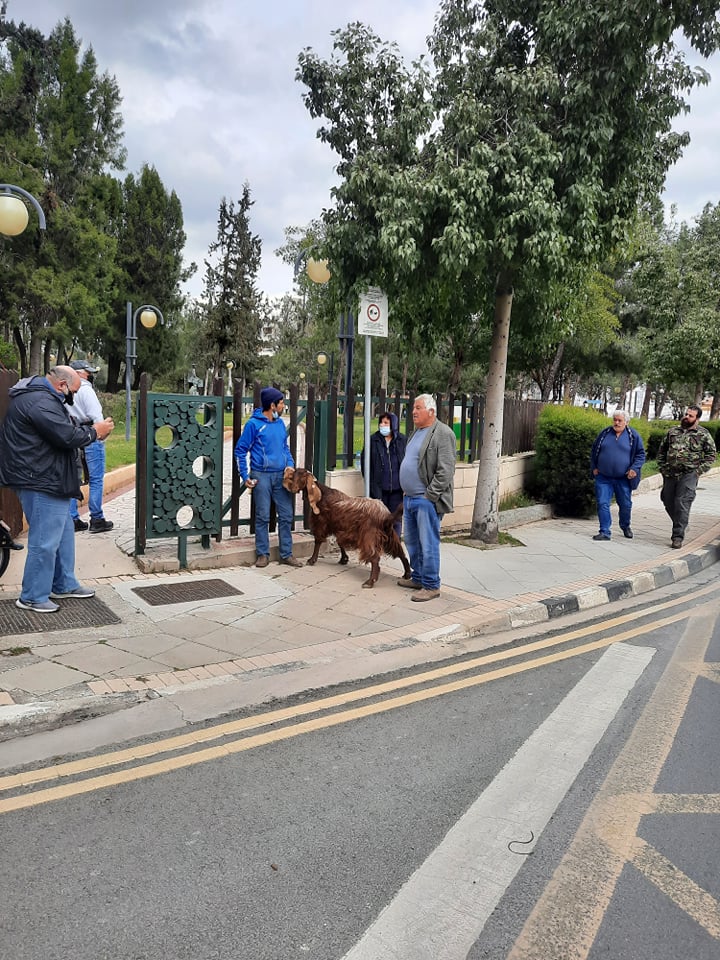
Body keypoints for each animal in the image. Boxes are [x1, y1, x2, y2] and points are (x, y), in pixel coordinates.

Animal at [284, 468, 414, 588]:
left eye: (299, 475)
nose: (291, 486)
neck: (323, 494)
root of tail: (385, 515)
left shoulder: (321, 523)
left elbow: (318, 542)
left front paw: (312, 560)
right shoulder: (341, 528)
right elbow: (340, 542)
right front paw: (344, 559)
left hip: (368, 537)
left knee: (375, 558)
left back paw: (370, 581)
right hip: (389, 535)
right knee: (401, 554)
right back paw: (407, 574)